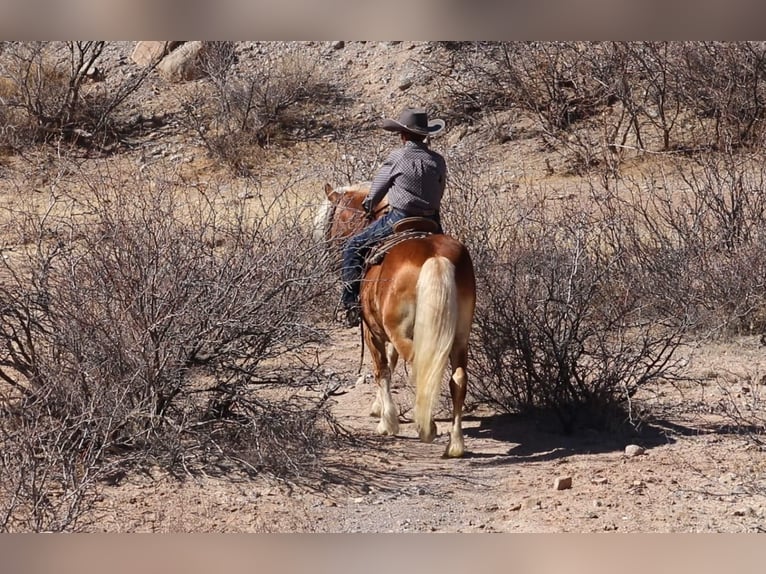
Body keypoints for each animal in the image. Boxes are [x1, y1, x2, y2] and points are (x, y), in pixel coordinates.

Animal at [316, 183, 474, 460]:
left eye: (332, 219)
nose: (328, 247)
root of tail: (436, 258)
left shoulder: (372, 332)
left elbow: (382, 369)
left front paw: (386, 422)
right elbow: (390, 360)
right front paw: (378, 407)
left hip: (402, 332)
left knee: (420, 366)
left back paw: (427, 426)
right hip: (459, 338)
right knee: (458, 379)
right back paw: (455, 444)